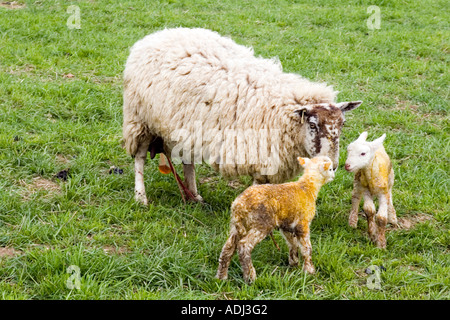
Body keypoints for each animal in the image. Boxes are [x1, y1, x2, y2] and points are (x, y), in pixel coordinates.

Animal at [123, 26, 362, 204]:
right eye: (312, 125)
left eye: (342, 125)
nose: (332, 165)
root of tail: (160, 33)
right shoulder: (262, 155)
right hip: (140, 119)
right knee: (140, 157)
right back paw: (141, 197)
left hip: (183, 126)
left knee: (187, 160)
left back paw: (194, 196)